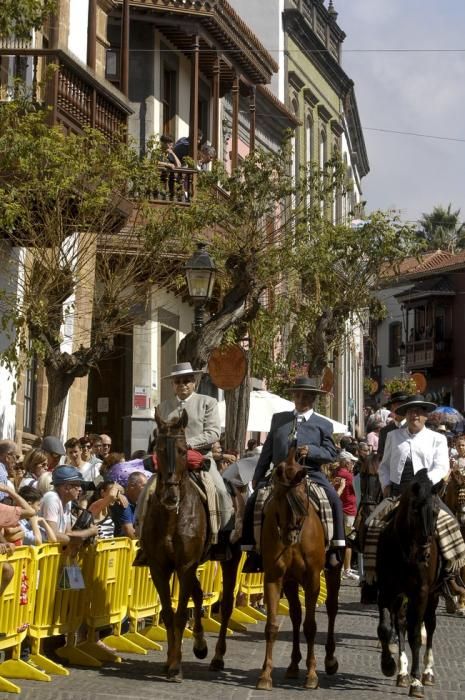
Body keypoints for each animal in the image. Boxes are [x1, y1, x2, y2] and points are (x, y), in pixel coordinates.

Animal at [140, 408, 241, 680]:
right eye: (158, 449)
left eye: (184, 450)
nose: (170, 495)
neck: (173, 515)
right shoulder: (160, 567)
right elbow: (168, 612)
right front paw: (170, 660)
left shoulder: (185, 566)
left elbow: (180, 613)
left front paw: (176, 666)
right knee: (197, 593)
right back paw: (200, 645)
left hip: (230, 561)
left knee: (226, 605)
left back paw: (217, 657)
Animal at [256, 448, 338, 688]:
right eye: (278, 499)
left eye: (302, 498)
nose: (289, 536)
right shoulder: (274, 578)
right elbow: (272, 626)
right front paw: (265, 675)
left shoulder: (312, 579)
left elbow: (310, 626)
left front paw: (311, 674)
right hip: (291, 582)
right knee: (295, 615)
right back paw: (293, 665)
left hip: (332, 572)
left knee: (331, 608)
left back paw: (330, 660)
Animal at [376, 468, 440, 696]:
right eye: (414, 510)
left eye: (435, 512)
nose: (425, 554)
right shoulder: (386, 590)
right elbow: (385, 628)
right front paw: (388, 665)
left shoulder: (421, 593)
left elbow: (415, 635)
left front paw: (416, 681)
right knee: (401, 623)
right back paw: (402, 672)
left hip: (433, 595)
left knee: (429, 625)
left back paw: (427, 672)